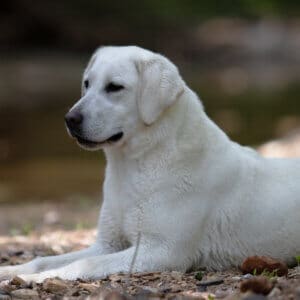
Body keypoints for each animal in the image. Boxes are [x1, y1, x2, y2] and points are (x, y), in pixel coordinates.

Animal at [0, 45, 300, 282]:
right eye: (87, 83)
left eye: (114, 87)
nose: (70, 119)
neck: (133, 166)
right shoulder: (107, 244)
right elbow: (45, 259)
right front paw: (13, 270)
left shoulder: (160, 251)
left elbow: (84, 264)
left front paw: (37, 278)